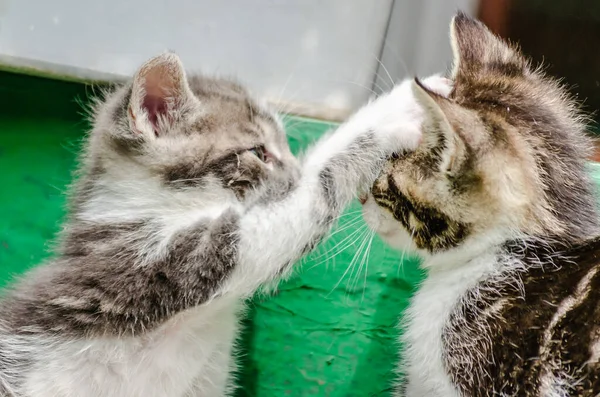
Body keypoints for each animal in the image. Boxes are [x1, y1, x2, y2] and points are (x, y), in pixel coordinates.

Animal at [0, 53, 450, 396]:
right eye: (259, 153)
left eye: (285, 148)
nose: (291, 170)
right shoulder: (166, 262)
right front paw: (396, 111)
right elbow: (316, 186)